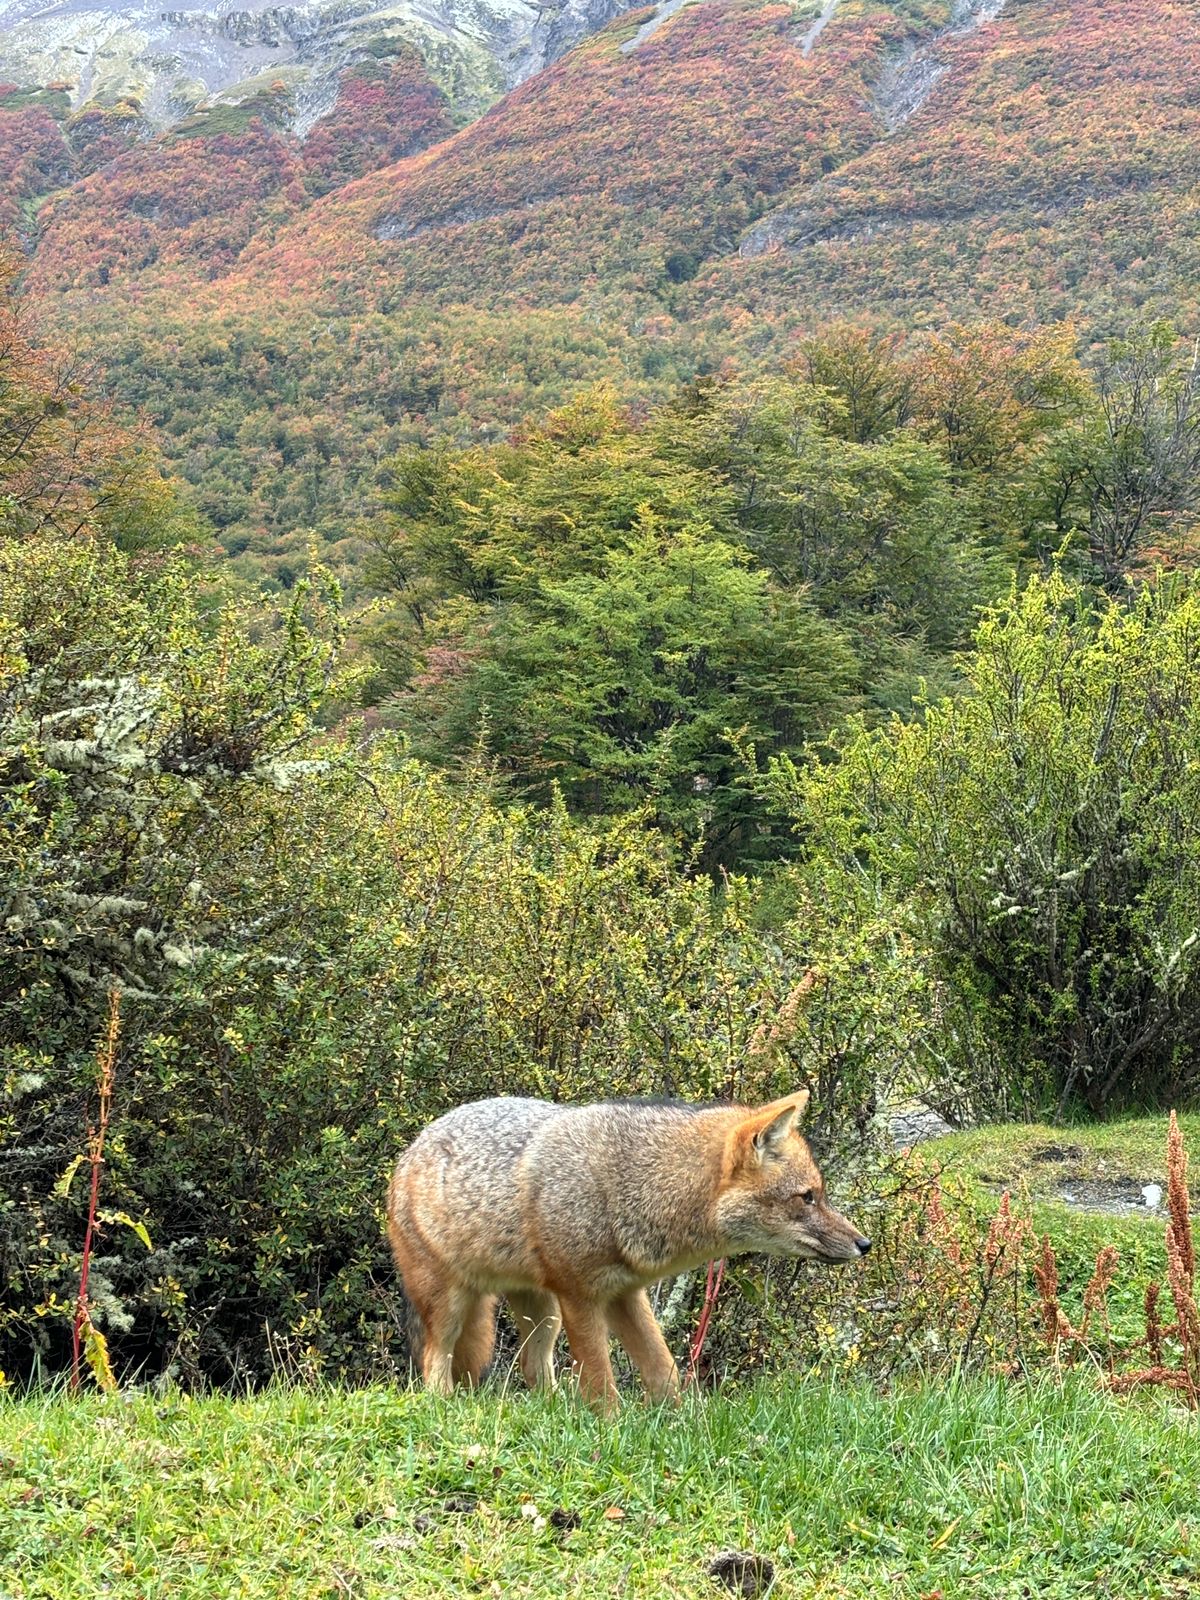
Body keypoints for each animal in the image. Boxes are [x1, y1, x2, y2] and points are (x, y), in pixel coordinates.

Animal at [386, 1088, 870, 1409]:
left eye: (819, 1195)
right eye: (808, 1198)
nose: (864, 1244)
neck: (630, 1185)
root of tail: (411, 1148)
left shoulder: (624, 1294)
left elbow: (663, 1369)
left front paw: (684, 1422)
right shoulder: (581, 1296)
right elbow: (602, 1380)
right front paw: (609, 1428)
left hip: (543, 1316)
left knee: (532, 1370)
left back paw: (555, 1413)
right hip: (452, 1306)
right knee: (433, 1362)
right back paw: (444, 1407)